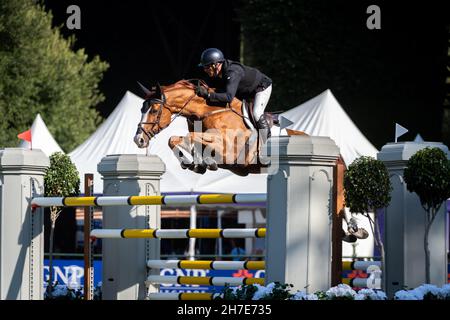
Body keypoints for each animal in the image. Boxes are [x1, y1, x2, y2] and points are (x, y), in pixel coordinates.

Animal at [132, 79, 306, 176]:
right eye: (141, 109)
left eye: (154, 110)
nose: (138, 140)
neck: (208, 112)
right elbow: (173, 139)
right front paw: (193, 163)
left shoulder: (230, 152)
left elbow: (191, 137)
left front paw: (203, 161)